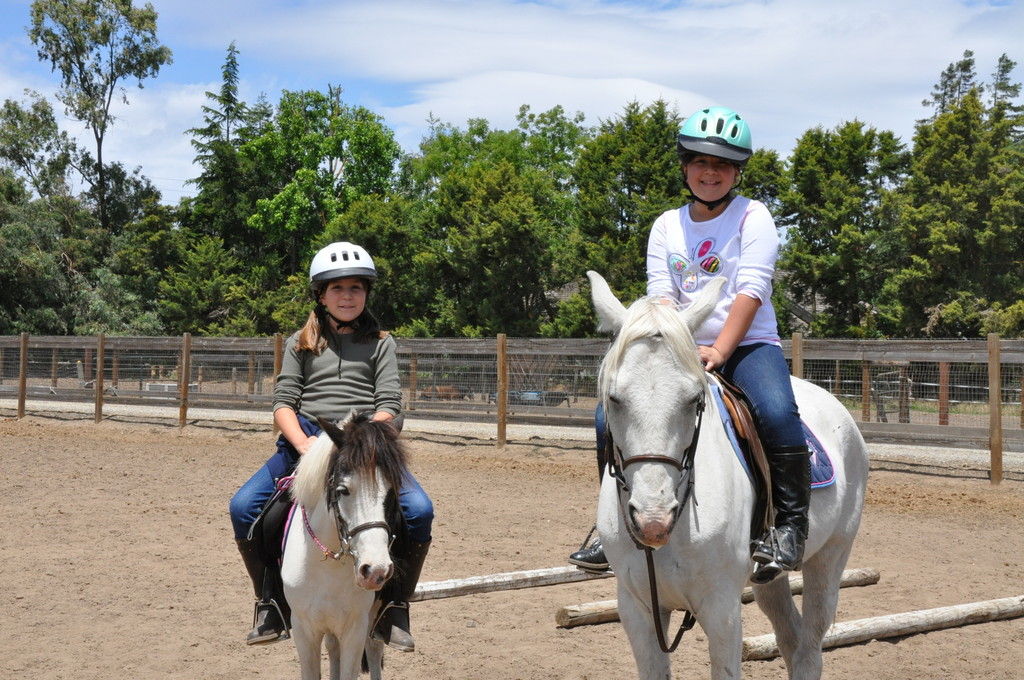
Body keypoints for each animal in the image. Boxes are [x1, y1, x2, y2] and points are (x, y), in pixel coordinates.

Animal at [282, 411, 409, 680]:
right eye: (342, 490)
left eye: (393, 491)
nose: (375, 570)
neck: (330, 567)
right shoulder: (304, 629)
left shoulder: (355, 628)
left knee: (374, 647)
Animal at [589, 272, 868, 680]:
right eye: (613, 398)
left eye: (694, 399)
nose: (653, 521)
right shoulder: (636, 607)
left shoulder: (721, 609)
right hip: (768, 578)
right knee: (790, 636)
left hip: (831, 557)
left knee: (810, 649)